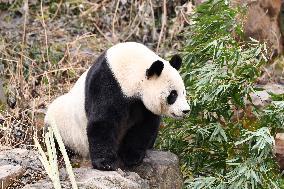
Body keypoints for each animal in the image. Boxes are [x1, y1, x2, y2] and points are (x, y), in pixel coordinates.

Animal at [44, 42, 190, 171]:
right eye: (173, 95)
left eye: (183, 92)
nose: (186, 110)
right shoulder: (107, 83)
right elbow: (103, 122)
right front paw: (105, 164)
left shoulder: (143, 105)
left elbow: (144, 126)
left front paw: (132, 157)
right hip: (63, 126)